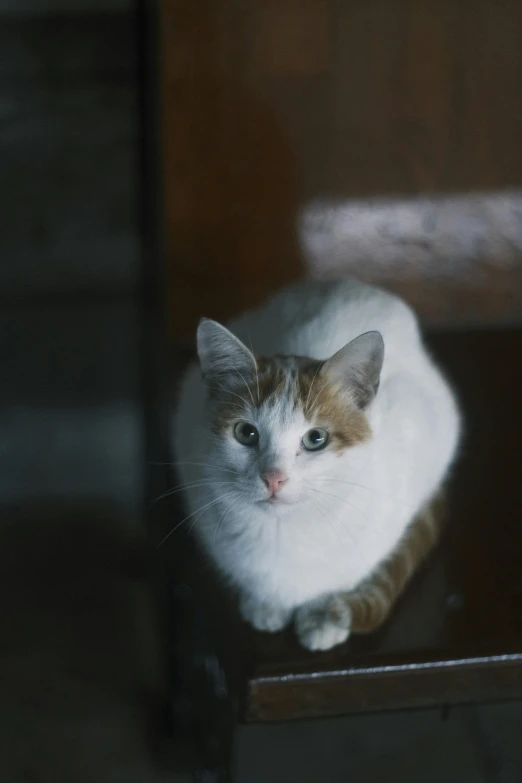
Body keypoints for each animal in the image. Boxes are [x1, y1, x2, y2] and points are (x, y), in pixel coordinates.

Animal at [173, 280, 458, 648]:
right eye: (246, 433)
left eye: (315, 439)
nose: (274, 478)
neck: (282, 533)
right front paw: (265, 605)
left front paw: (323, 616)